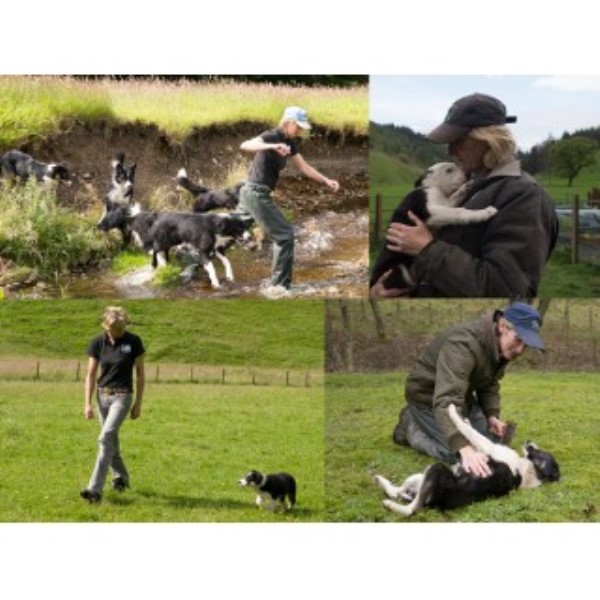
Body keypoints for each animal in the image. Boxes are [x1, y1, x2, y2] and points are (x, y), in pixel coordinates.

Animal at [370, 159, 496, 290]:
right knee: (410, 282)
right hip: (397, 270)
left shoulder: (444, 203)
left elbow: (454, 198)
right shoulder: (431, 211)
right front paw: (485, 212)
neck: (433, 187)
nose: (468, 174)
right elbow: (458, 211)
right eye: (449, 170)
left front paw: (466, 187)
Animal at [372, 404, 560, 516]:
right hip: (421, 475)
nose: (529, 441)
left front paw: (453, 412)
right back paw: (381, 481)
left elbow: (468, 431)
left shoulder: (486, 446)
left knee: (410, 509)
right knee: (396, 492)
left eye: (539, 452)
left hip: (435, 469)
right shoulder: (477, 453)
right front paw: (466, 419)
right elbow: (468, 434)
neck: (527, 472)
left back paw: (390, 505)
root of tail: (434, 503)